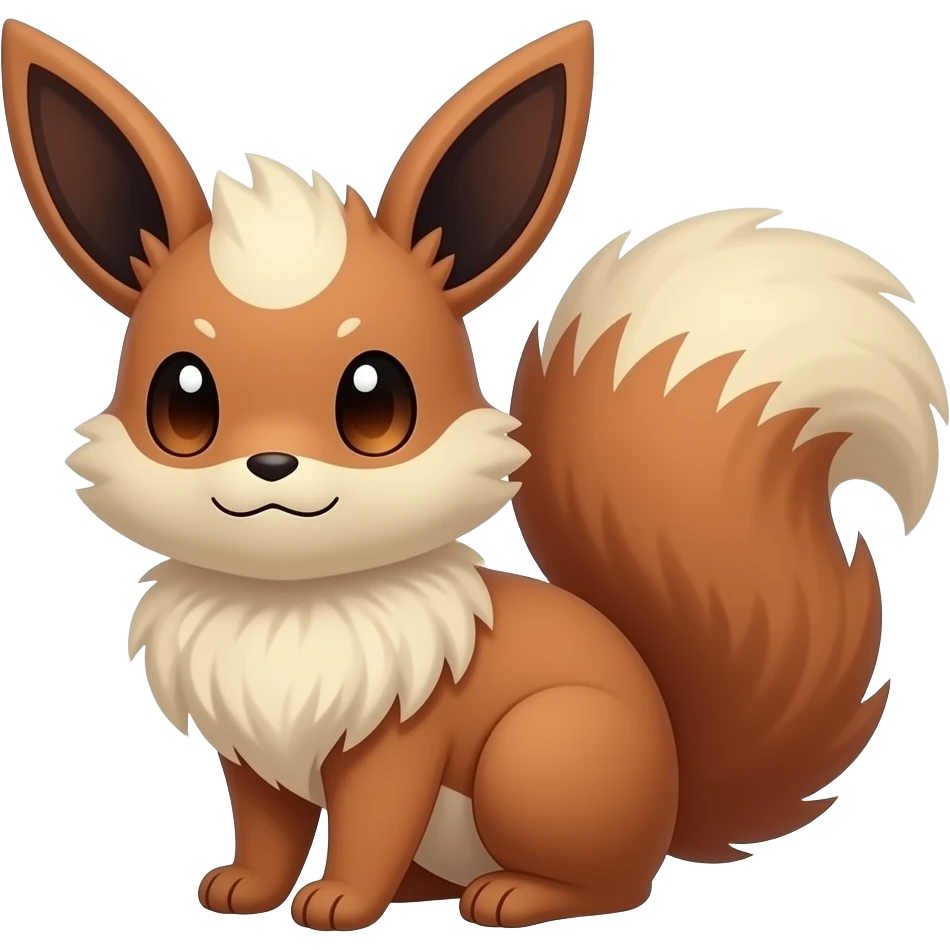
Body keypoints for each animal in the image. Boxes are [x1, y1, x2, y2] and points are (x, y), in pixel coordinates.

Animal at [4, 16, 944, 931]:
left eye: (376, 403)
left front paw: (340, 903)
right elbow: (268, 827)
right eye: (182, 403)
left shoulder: (398, 742)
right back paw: (426, 892)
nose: (271, 465)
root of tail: (673, 801)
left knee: (612, 884)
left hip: (541, 757)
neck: (291, 606)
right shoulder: (254, 750)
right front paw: (243, 888)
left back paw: (512, 896)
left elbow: (372, 823)